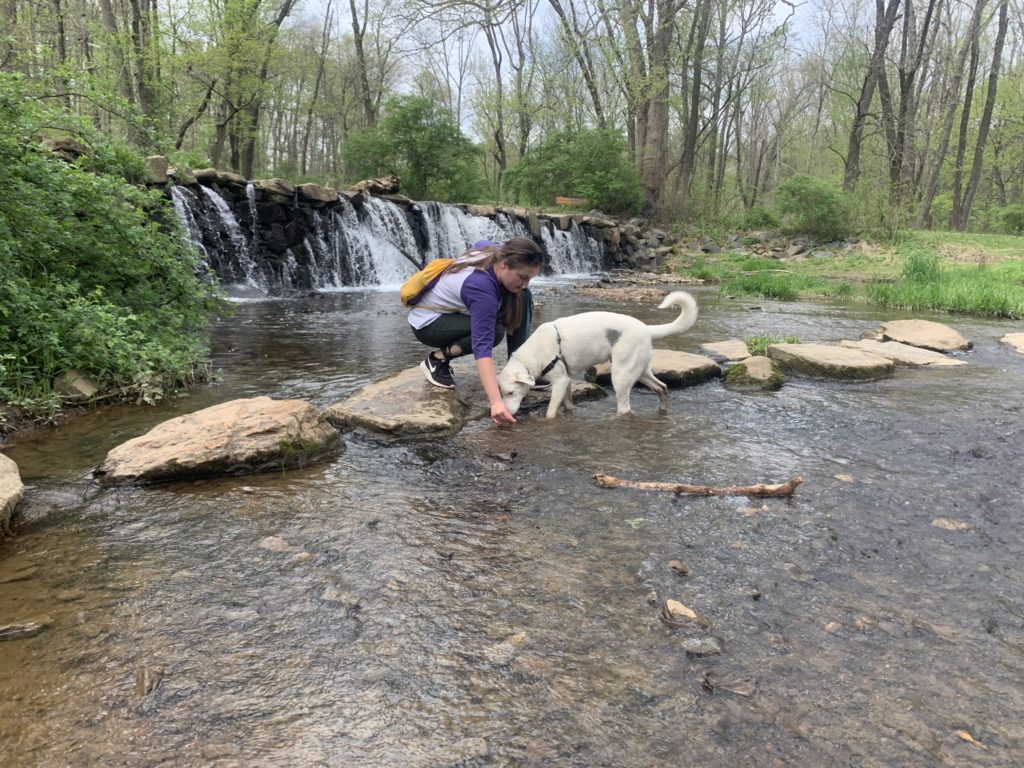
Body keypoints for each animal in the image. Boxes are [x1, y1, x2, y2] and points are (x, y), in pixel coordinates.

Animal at [495, 290, 696, 421]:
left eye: (511, 392)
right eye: (502, 394)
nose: (508, 414)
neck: (532, 354)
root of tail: (647, 329)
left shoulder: (559, 381)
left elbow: (551, 411)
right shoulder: (566, 380)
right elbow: (568, 404)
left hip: (621, 375)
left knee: (625, 408)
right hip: (640, 370)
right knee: (662, 387)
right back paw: (663, 410)